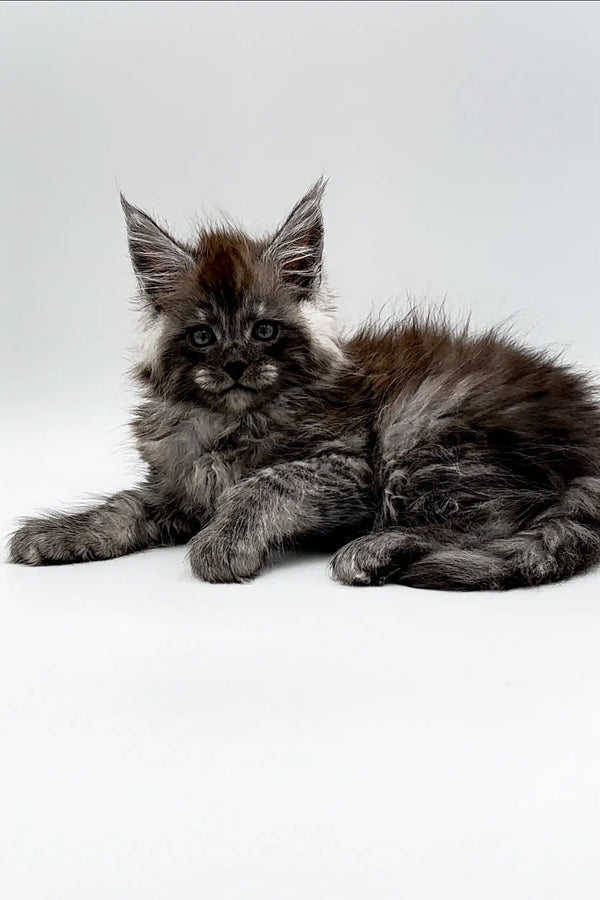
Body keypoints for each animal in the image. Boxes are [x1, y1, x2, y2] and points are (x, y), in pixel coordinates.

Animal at [8, 182, 600, 592]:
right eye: (203, 336)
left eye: (263, 330)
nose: (235, 364)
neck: (230, 420)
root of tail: (587, 430)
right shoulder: (178, 487)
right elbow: (123, 507)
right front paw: (56, 533)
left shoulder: (346, 467)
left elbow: (264, 483)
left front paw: (221, 545)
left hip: (422, 431)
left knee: (501, 517)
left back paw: (375, 549)